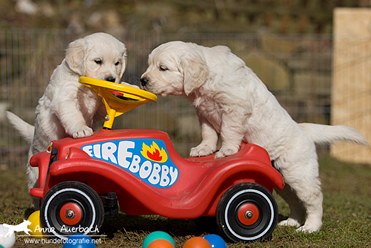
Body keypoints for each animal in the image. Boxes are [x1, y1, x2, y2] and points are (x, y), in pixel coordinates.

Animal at [6, 33, 128, 207]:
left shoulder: (98, 108)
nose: (111, 79)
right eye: (98, 61)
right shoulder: (65, 96)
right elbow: (73, 114)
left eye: (117, 63)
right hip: (35, 175)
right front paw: (81, 129)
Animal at [141, 40, 370, 232]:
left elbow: (229, 130)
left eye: (163, 68)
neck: (206, 82)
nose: (143, 80)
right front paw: (203, 149)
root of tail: (303, 130)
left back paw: (310, 227)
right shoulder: (204, 112)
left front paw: (227, 150)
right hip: (283, 181)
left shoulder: (234, 108)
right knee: (295, 201)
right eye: (150, 65)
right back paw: (291, 222)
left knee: (314, 198)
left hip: (298, 172)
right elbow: (208, 133)